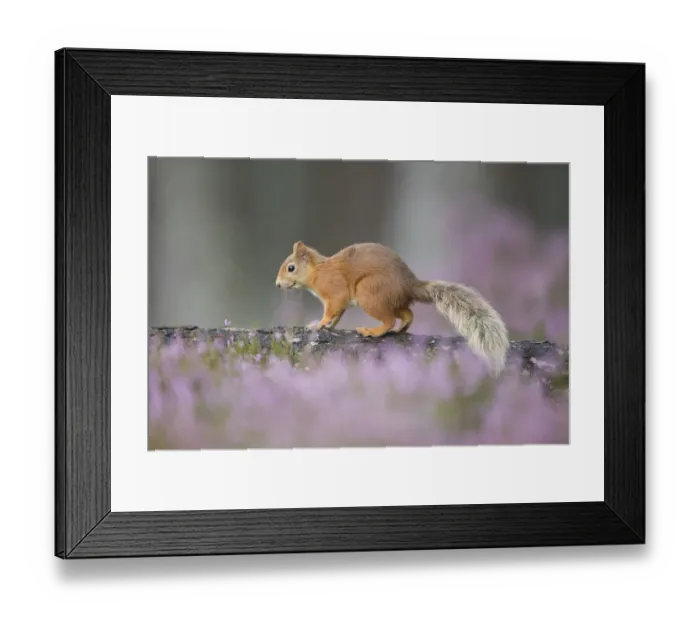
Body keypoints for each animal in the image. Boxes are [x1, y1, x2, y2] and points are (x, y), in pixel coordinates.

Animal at [275, 241, 510, 375]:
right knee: (407, 314)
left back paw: (373, 331)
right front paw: (328, 325)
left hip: (369, 293)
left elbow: (333, 309)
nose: (277, 285)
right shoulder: (337, 302)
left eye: (291, 268)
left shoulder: (335, 291)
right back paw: (400, 330)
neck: (318, 272)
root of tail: (409, 285)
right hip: (390, 301)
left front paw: (319, 324)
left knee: (389, 319)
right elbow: (337, 315)